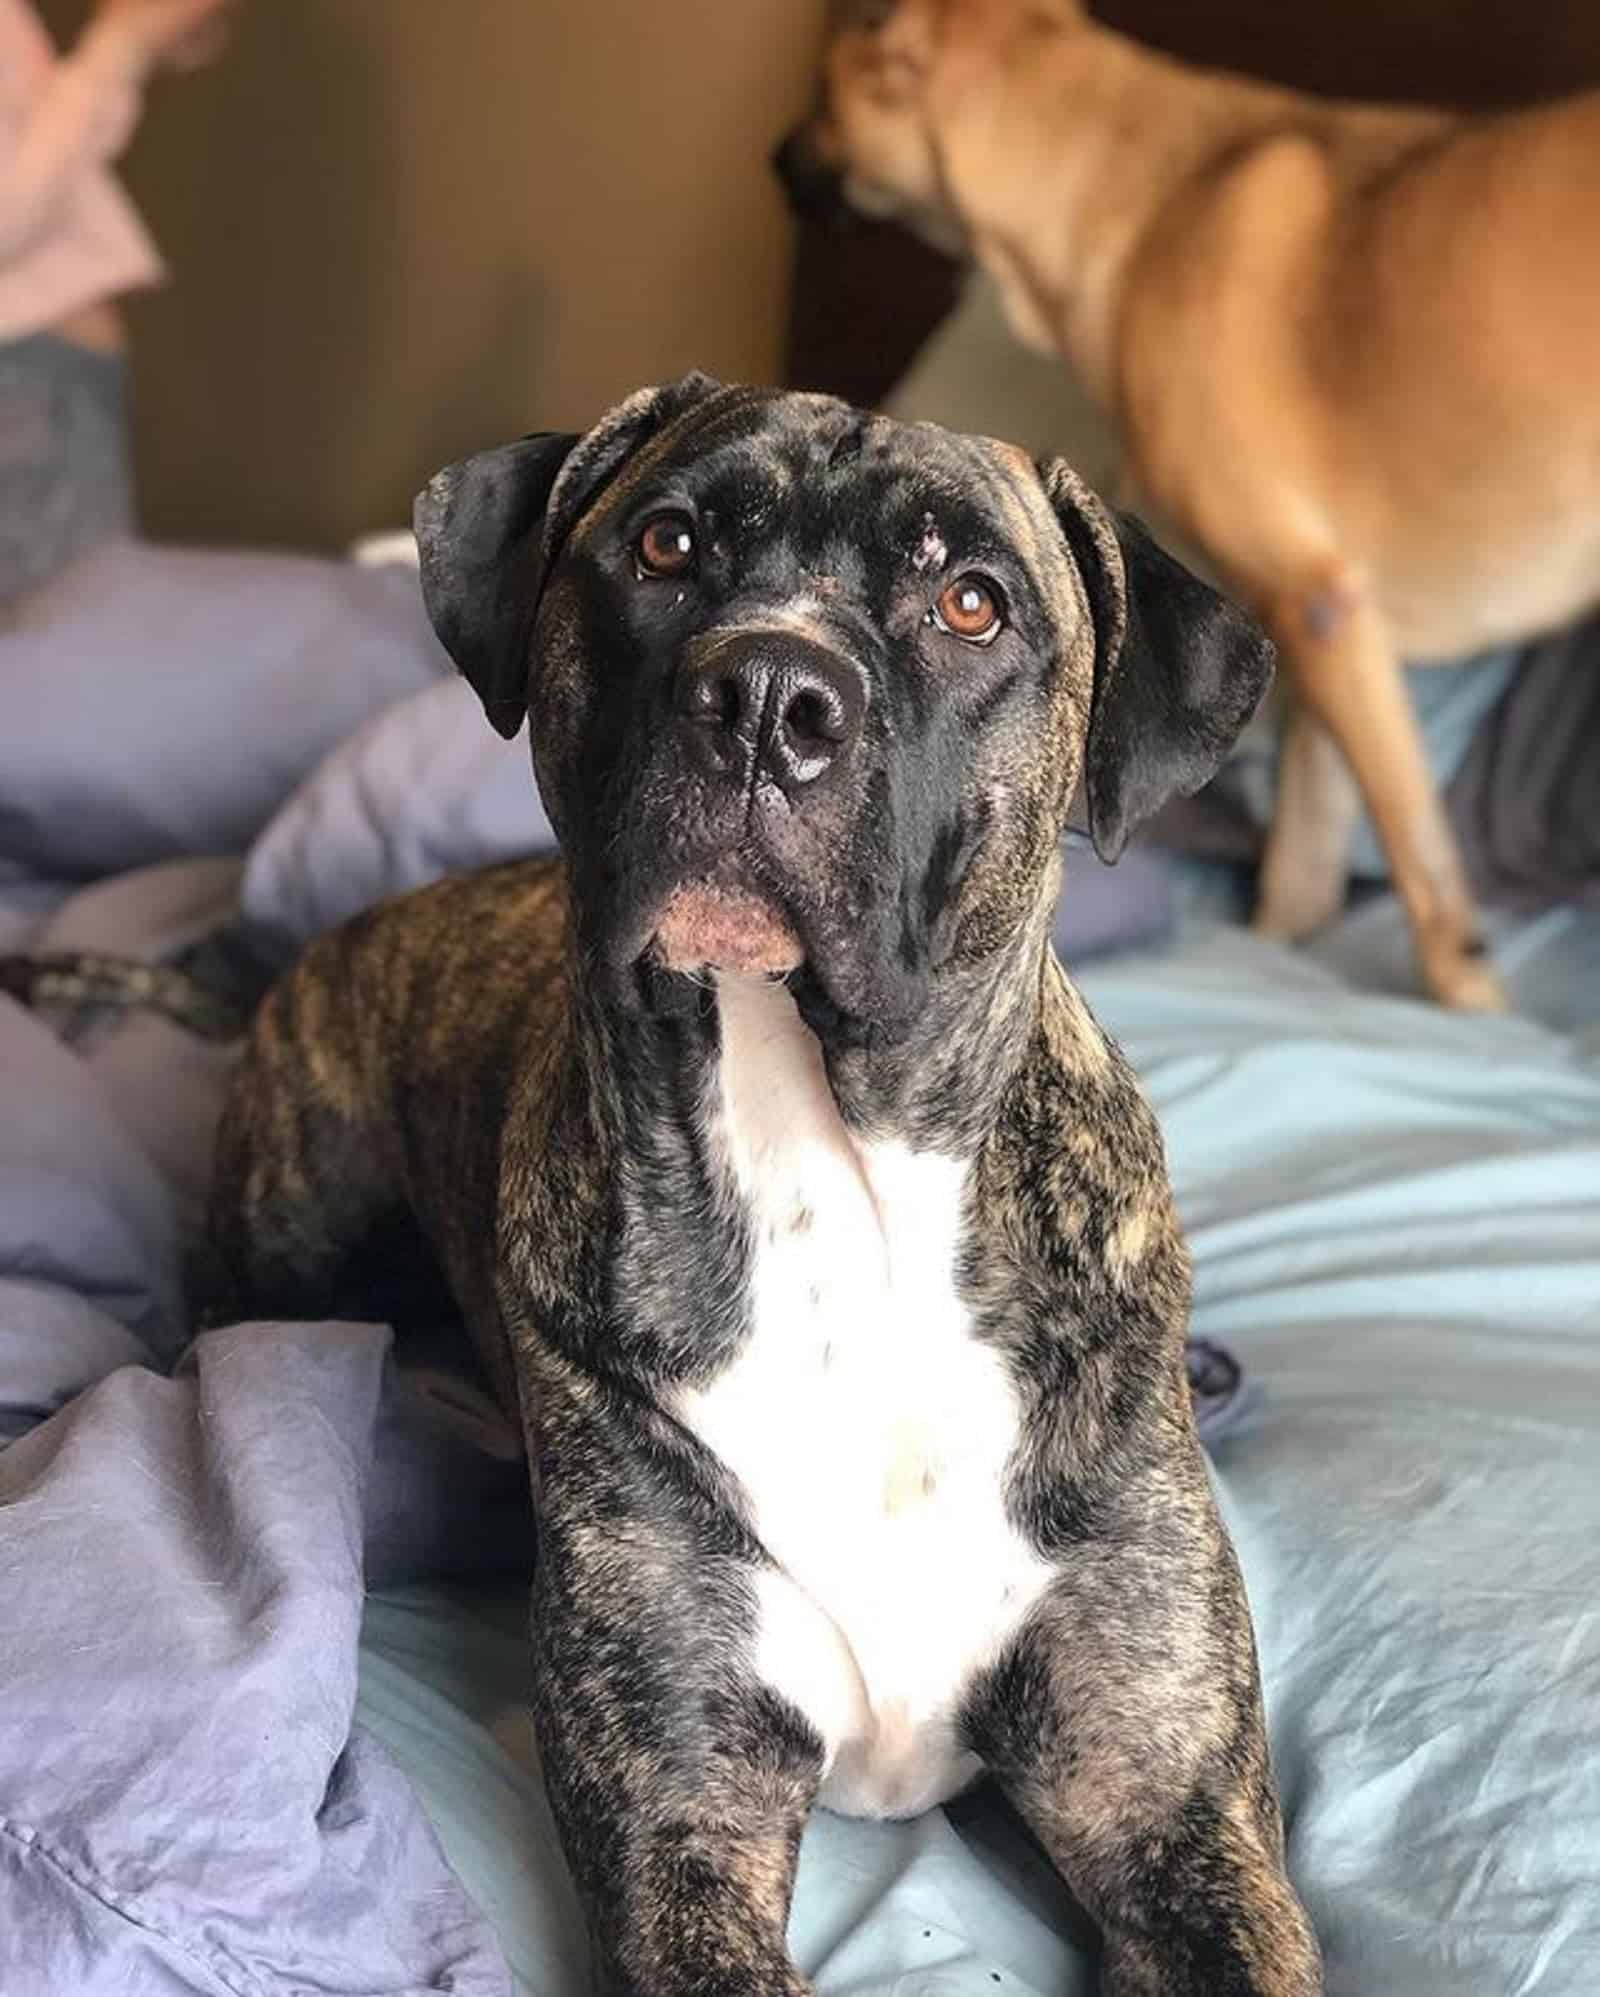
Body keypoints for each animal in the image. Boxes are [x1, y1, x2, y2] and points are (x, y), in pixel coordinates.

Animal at [205, 377, 1318, 1997]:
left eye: (972, 601)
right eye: (667, 543)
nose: (768, 694)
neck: (833, 1177)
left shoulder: (1167, 1798)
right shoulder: (686, 1810)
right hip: (287, 1235)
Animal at [779, 0, 1598, 1006]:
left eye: (822, 88)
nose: (775, 160)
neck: (1148, 197)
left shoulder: (1320, 610)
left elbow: (1426, 873)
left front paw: (1473, 1008)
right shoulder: (1331, 636)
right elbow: (1302, 865)